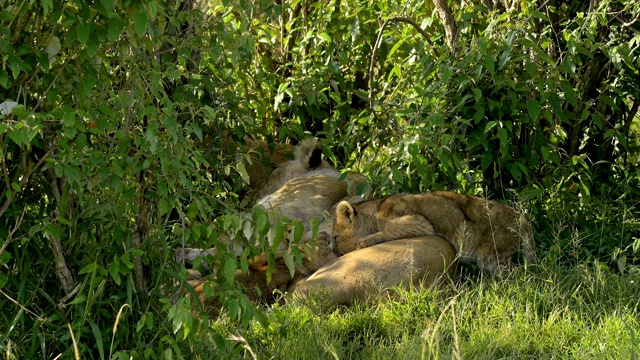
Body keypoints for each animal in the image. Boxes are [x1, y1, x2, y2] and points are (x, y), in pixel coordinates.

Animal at [332, 191, 532, 272]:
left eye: (334, 237)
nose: (334, 253)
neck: (375, 209)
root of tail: (520, 217)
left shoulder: (418, 223)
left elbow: (388, 230)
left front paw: (363, 242)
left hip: (492, 255)